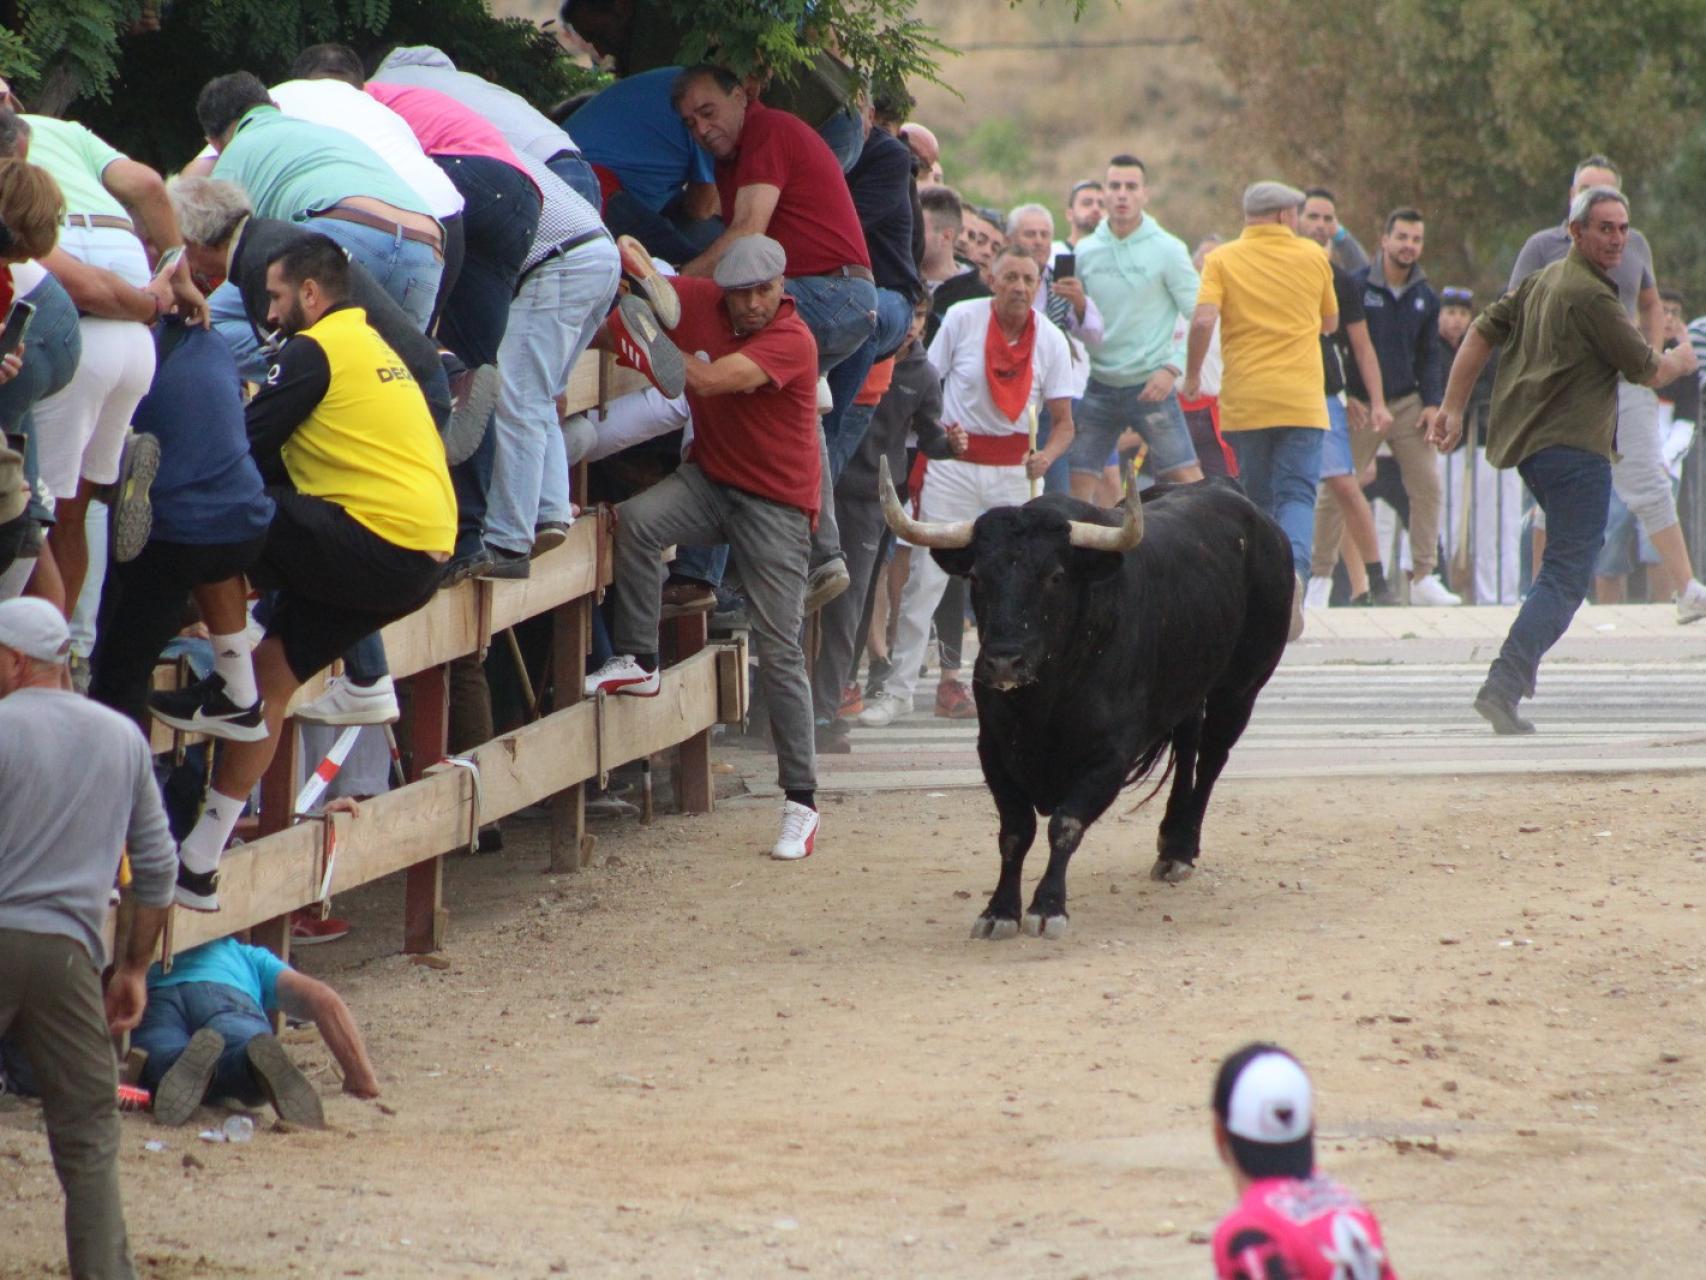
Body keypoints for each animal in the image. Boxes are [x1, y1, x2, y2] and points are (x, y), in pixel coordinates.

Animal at [880, 464, 1289, 942]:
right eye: (978, 577)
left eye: (1055, 577)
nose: (1003, 661)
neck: (1041, 703)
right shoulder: (993, 752)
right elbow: (1015, 832)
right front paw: (1000, 910)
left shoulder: (1109, 758)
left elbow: (1065, 824)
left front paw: (1048, 907)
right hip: (1189, 685)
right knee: (1188, 744)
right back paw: (1169, 841)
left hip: (1241, 688)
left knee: (1211, 759)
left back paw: (1183, 850)